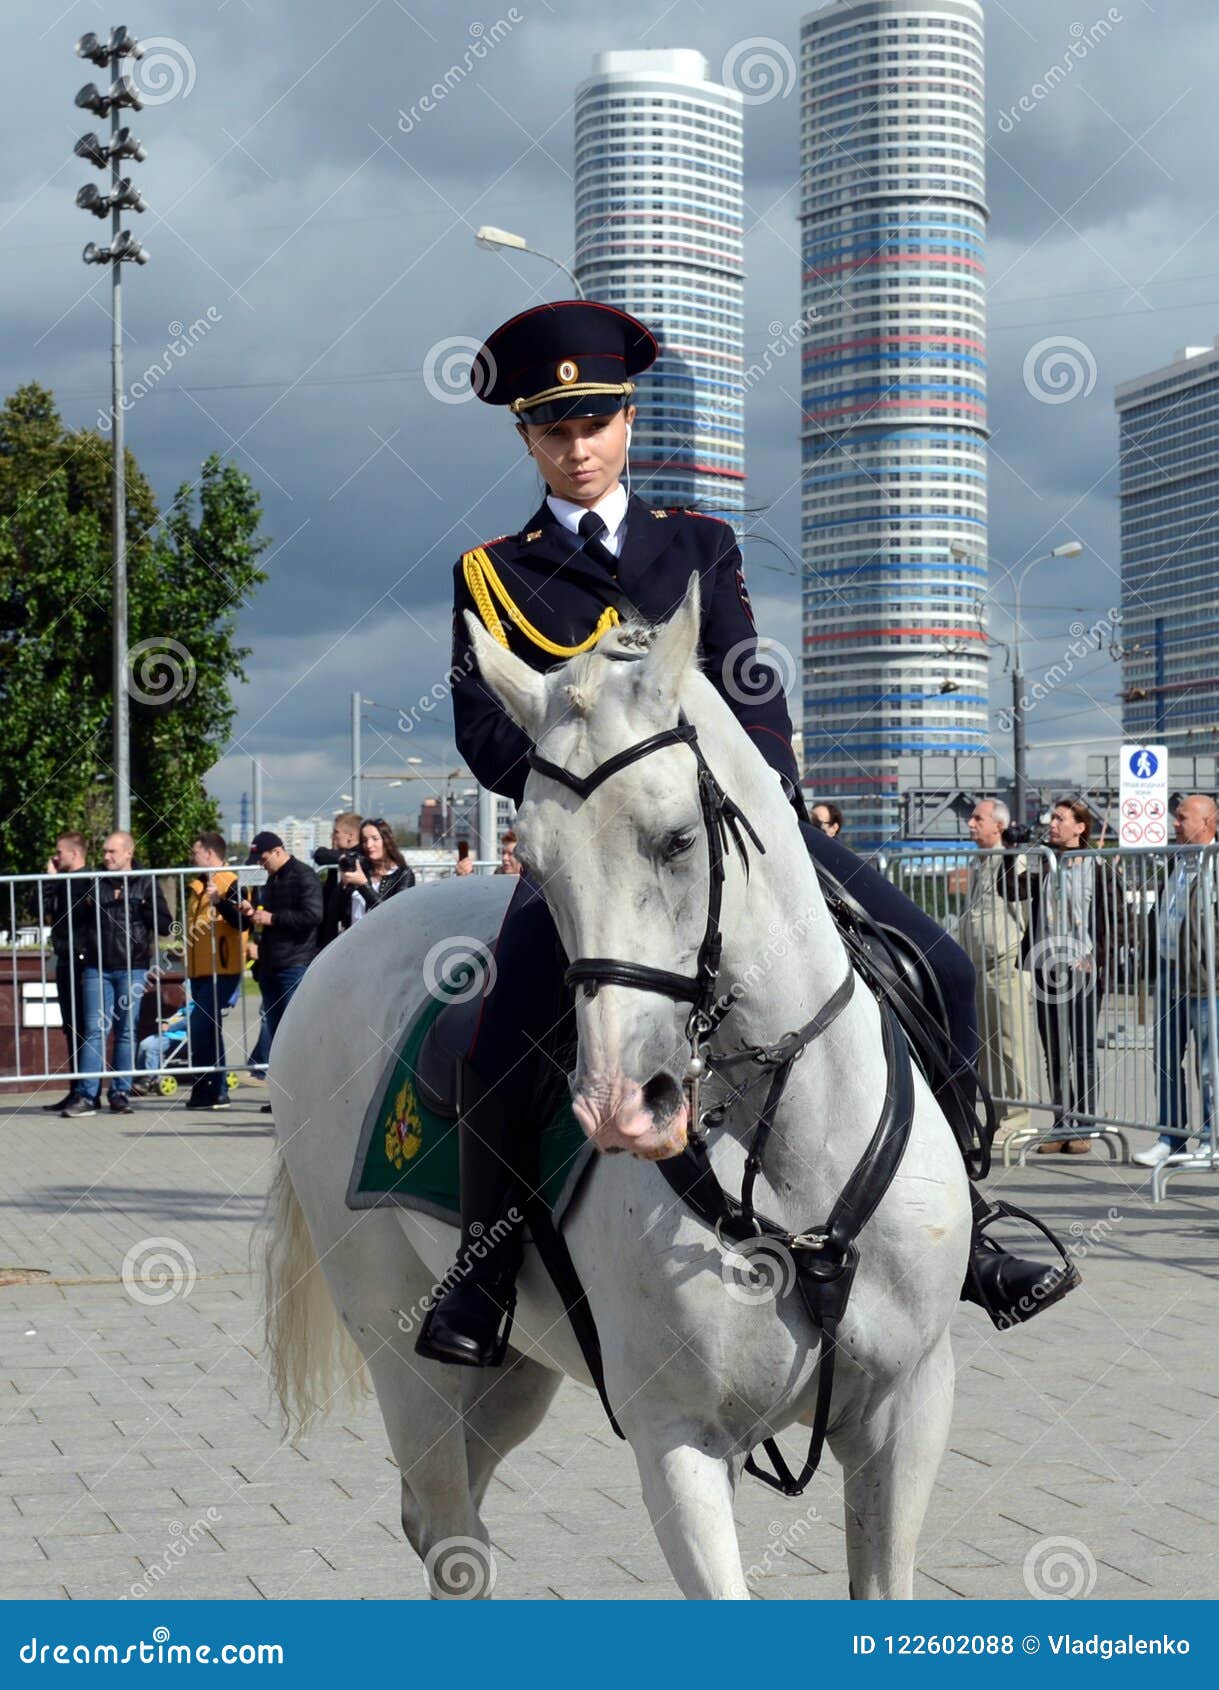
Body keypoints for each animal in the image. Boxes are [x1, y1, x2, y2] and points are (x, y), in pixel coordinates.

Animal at [267, 581, 967, 1595]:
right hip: (407, 1356)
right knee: (448, 1534)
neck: (791, 1145)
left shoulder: (905, 1414)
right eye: (532, 860)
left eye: (676, 840)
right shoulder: (677, 1442)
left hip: (513, 1375)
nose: (619, 1104)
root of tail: (345, 944)